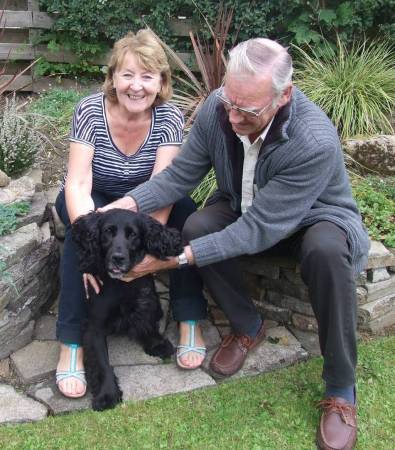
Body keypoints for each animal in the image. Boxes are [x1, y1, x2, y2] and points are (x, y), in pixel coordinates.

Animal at [72, 208, 184, 412]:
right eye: (108, 232)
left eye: (133, 235)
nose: (118, 258)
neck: (120, 284)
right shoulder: (94, 326)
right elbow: (102, 362)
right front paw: (107, 394)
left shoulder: (145, 300)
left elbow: (147, 322)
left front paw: (156, 343)